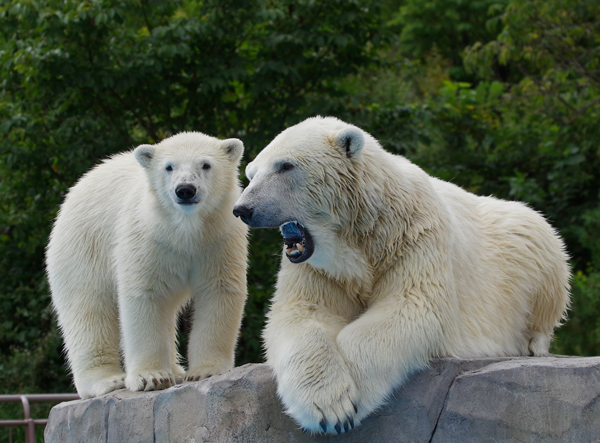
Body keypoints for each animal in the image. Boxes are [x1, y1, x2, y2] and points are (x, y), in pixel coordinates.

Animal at [45, 131, 248, 398]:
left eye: (206, 165)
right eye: (169, 167)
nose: (185, 190)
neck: (185, 229)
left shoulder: (218, 238)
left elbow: (219, 289)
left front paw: (204, 371)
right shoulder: (147, 238)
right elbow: (145, 294)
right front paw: (151, 377)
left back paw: (177, 370)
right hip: (83, 248)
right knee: (88, 309)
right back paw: (107, 381)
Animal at [232, 116, 568, 436]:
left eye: (285, 166)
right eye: (251, 172)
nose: (243, 209)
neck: (366, 231)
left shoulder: (416, 236)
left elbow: (412, 304)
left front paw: (352, 397)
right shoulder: (321, 269)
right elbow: (301, 313)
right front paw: (328, 408)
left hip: (527, 243)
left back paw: (532, 343)